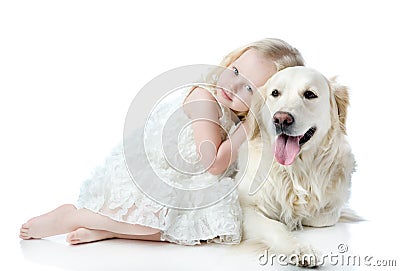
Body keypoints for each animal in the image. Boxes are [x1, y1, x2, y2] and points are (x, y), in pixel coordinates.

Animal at [238, 67, 356, 268]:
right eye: (275, 93)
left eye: (310, 94)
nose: (281, 119)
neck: (296, 170)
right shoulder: (243, 209)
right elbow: (276, 226)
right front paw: (300, 249)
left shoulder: (332, 207)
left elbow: (319, 216)